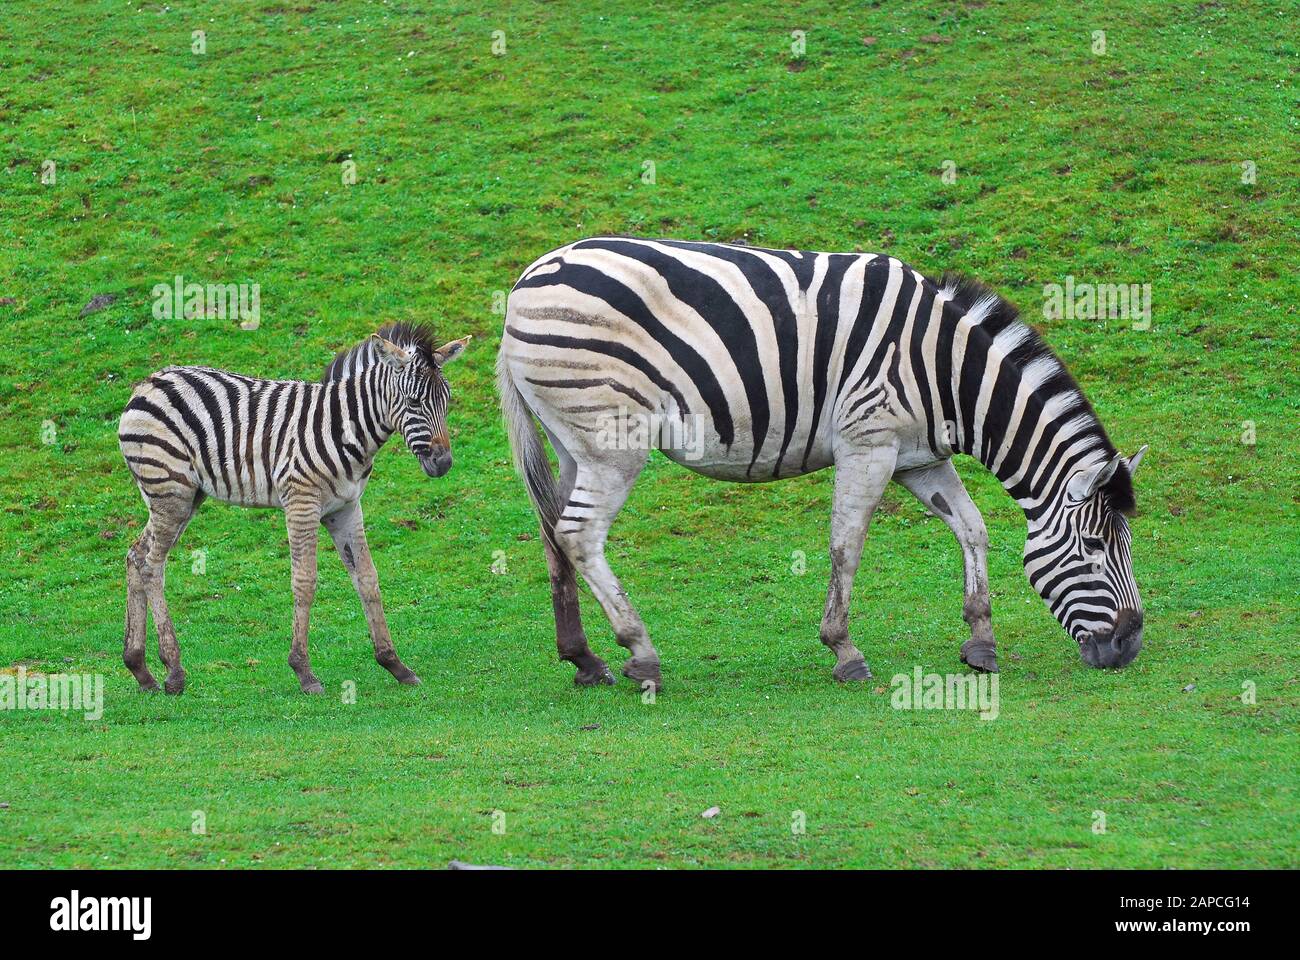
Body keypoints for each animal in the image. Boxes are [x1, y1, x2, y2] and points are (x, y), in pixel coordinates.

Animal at [118, 323, 470, 694]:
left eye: (447, 401)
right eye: (414, 402)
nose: (443, 464)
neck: (345, 429)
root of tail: (150, 381)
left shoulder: (346, 507)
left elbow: (367, 578)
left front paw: (394, 664)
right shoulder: (301, 502)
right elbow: (305, 580)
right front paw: (304, 671)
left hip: (181, 496)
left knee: (135, 555)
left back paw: (140, 669)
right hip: (170, 490)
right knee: (152, 566)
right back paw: (173, 670)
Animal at [497, 237, 1148, 692]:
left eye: (1126, 546)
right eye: (1095, 547)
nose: (1130, 647)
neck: (947, 372)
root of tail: (527, 280)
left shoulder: (918, 459)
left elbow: (972, 528)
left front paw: (981, 640)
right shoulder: (869, 442)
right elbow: (846, 544)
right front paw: (844, 651)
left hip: (572, 441)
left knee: (552, 529)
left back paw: (584, 659)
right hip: (613, 438)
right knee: (580, 533)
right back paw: (640, 651)